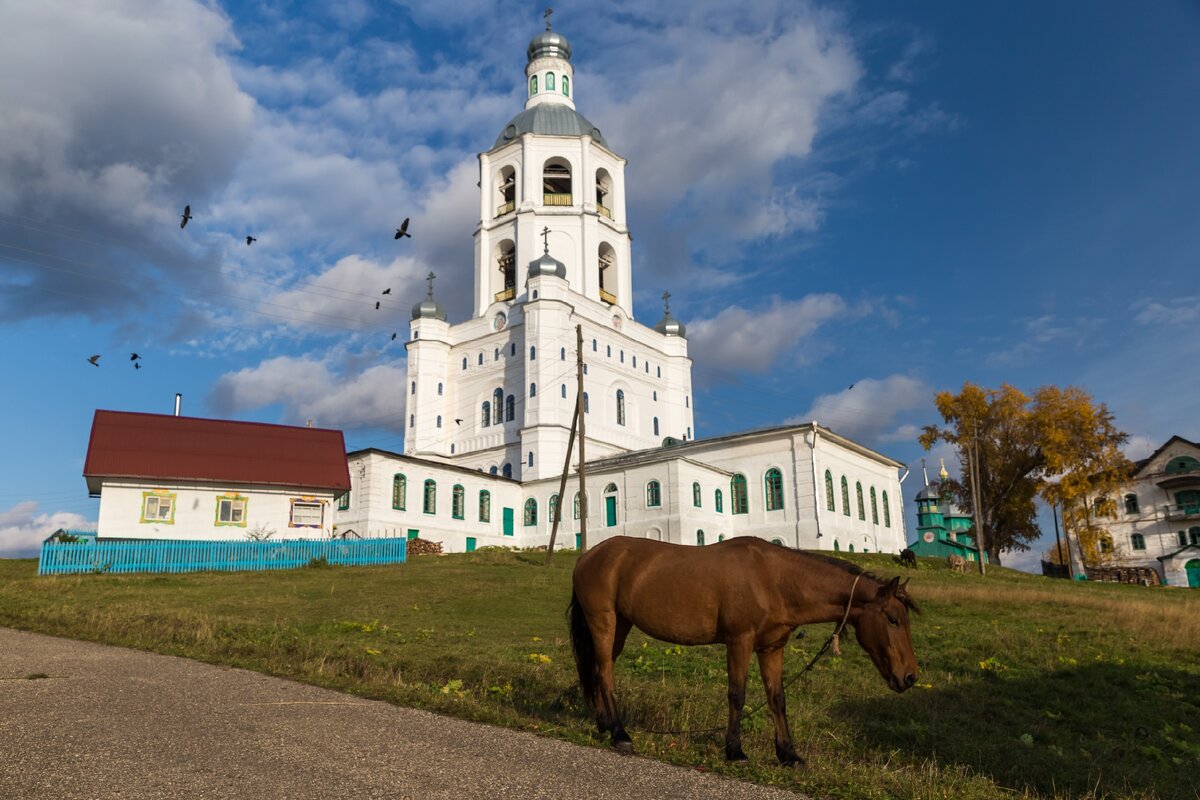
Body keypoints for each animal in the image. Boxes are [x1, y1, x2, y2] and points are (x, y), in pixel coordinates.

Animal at [568, 534, 916, 767]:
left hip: (621, 625)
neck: (773, 579)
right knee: (605, 672)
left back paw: (604, 724)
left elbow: (777, 699)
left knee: (599, 669)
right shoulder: (740, 641)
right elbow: (737, 694)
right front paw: (735, 750)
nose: (909, 677)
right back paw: (620, 734)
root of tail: (588, 556)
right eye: (893, 619)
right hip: (603, 621)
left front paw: (788, 754)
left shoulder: (772, 648)